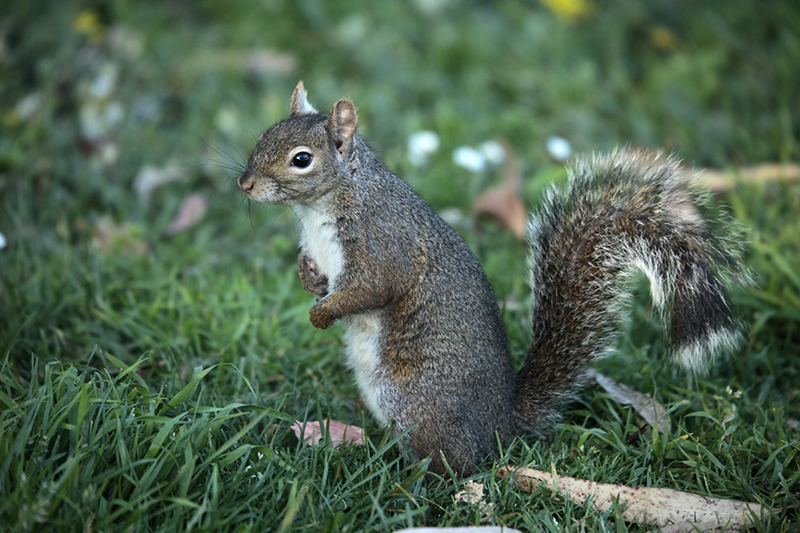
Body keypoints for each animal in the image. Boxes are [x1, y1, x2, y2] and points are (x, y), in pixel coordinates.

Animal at [234, 81, 748, 476]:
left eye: (302, 159)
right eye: (262, 137)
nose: (245, 185)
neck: (320, 206)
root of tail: (500, 425)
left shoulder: (382, 245)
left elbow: (371, 289)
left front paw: (322, 315)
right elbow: (320, 277)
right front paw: (310, 284)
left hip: (416, 398)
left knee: (455, 462)